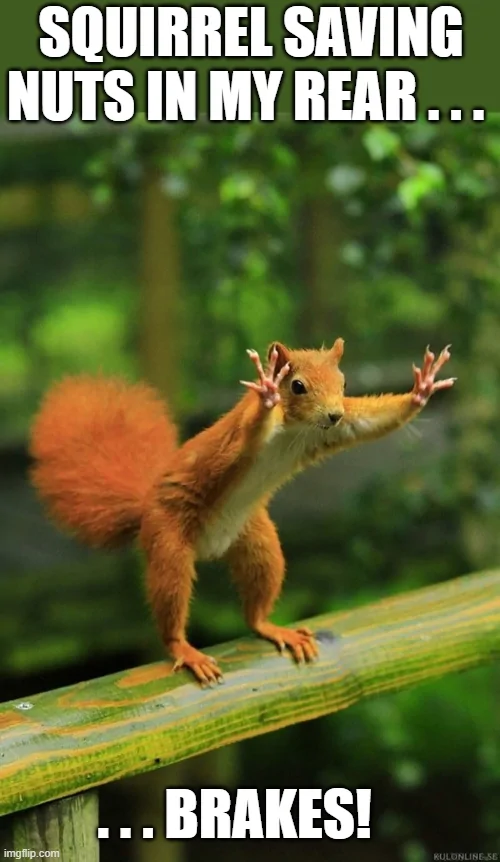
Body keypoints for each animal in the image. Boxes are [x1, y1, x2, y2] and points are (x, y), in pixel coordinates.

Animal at [30, 340, 455, 685]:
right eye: (296, 385)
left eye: (345, 383)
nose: (333, 413)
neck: (295, 428)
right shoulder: (237, 439)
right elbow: (247, 435)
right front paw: (267, 391)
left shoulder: (333, 431)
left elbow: (368, 422)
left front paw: (422, 390)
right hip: (168, 542)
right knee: (170, 600)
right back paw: (184, 649)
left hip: (257, 542)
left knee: (255, 605)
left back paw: (272, 627)